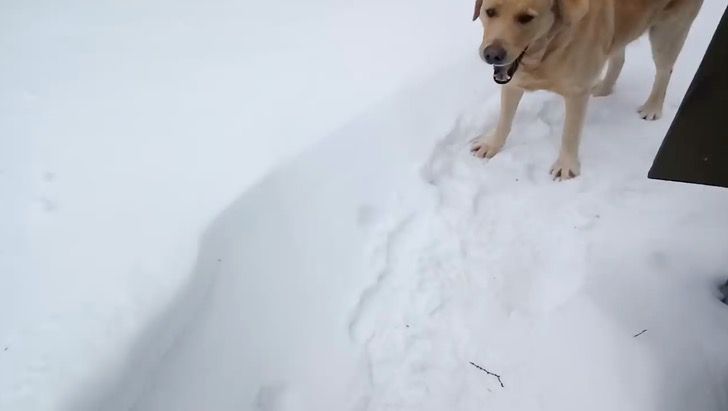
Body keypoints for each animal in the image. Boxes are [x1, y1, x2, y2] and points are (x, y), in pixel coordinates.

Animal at [472, 0, 704, 180]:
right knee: (619, 57)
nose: (492, 55)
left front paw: (566, 166)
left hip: (667, 32)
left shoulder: (576, 93)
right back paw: (604, 87)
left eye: (526, 18)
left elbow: (570, 133)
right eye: (490, 12)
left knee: (664, 71)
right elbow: (504, 119)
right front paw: (492, 144)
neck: (549, 46)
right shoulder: (513, 81)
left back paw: (652, 106)